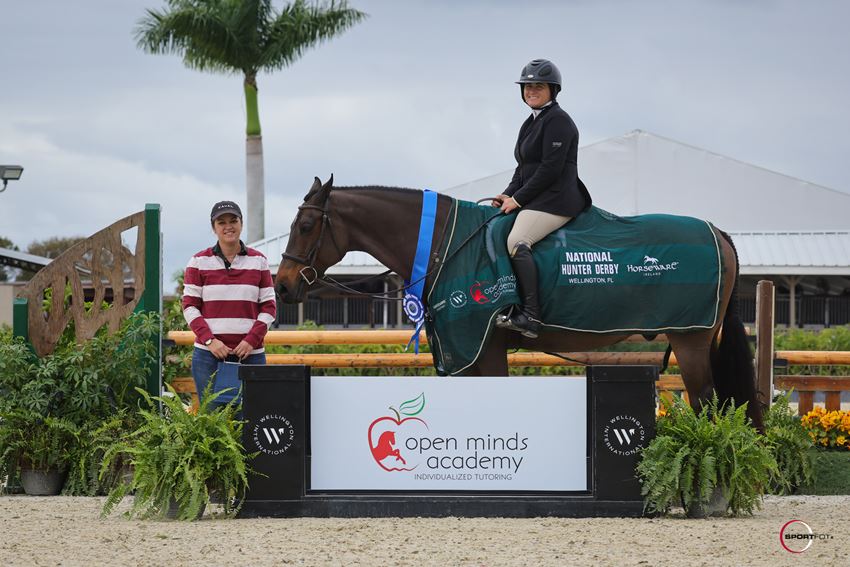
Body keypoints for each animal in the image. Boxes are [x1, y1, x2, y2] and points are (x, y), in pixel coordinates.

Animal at [274, 175, 760, 428]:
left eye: (305, 226)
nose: (281, 287)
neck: (444, 245)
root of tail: (718, 232)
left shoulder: (484, 348)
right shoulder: (464, 355)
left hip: (691, 340)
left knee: (709, 406)